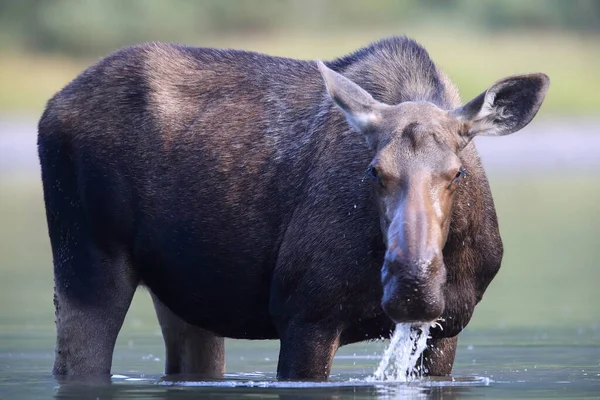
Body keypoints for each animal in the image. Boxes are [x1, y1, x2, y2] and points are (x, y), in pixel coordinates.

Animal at [37, 36, 552, 380]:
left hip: (182, 291)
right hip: (87, 259)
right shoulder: (306, 315)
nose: (413, 284)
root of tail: (50, 107)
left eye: (457, 173)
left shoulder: (447, 328)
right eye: (374, 171)